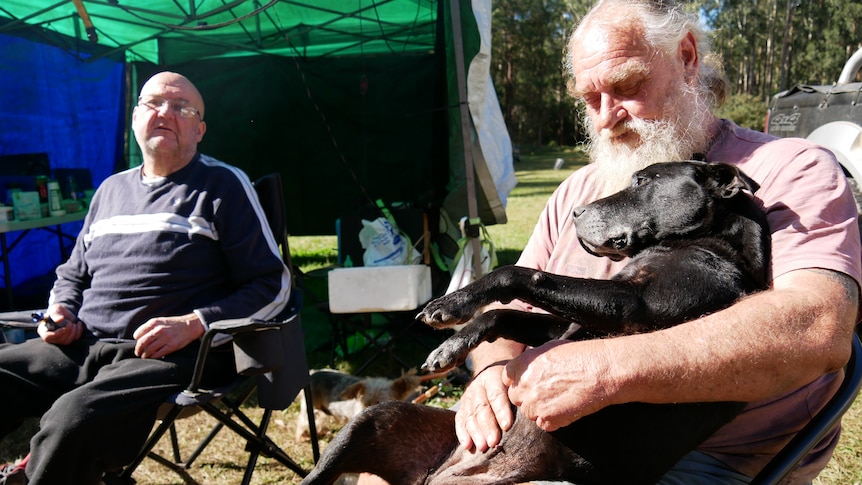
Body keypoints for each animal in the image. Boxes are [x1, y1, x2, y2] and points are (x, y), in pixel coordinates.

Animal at [302, 162, 768, 484]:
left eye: (642, 182)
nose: (577, 212)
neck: (710, 242)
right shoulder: (567, 326)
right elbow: (507, 312)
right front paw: (455, 340)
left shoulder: (633, 306)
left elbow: (520, 273)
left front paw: (454, 303)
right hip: (369, 423)